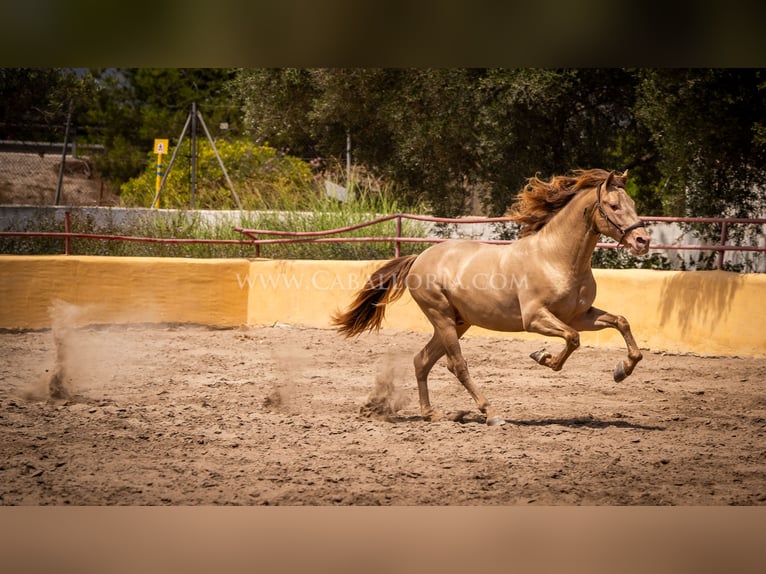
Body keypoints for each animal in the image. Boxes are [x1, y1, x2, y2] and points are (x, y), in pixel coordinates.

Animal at [332, 169, 652, 426]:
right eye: (613, 205)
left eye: (633, 205)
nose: (643, 241)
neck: (557, 258)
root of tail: (419, 258)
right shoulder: (536, 318)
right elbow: (573, 339)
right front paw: (543, 357)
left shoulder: (580, 315)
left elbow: (621, 322)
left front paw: (621, 370)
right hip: (442, 317)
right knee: (457, 365)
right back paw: (490, 413)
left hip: (459, 322)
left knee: (422, 360)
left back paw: (432, 414)